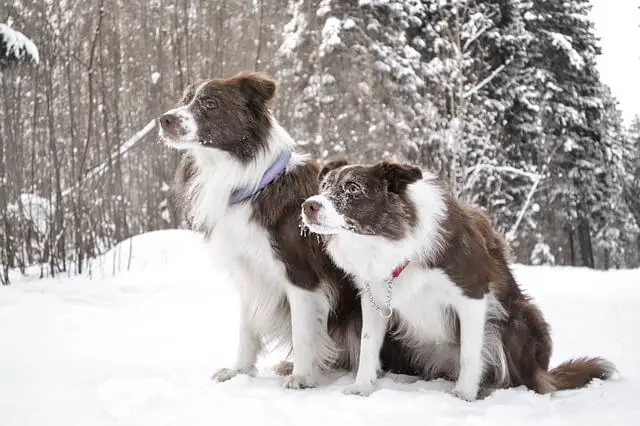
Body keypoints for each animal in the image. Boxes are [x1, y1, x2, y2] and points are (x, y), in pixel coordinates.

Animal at [156, 74, 416, 390]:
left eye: (210, 103)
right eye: (185, 99)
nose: (164, 119)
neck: (253, 181)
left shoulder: (301, 276)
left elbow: (302, 332)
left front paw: (301, 377)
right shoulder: (249, 273)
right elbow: (247, 329)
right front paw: (239, 370)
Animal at [302, 159, 616, 400]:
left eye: (353, 188)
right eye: (324, 187)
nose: (309, 206)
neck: (391, 241)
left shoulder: (472, 295)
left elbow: (470, 350)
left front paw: (464, 394)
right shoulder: (375, 300)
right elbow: (368, 345)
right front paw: (362, 387)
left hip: (521, 318)